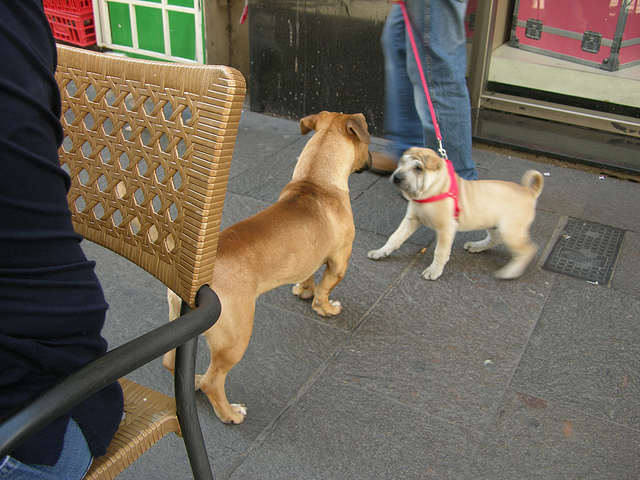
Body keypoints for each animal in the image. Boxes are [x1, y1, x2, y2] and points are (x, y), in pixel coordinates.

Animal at [161, 109, 370, 424]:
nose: (371, 162)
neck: (316, 180)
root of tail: (193, 282)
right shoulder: (339, 261)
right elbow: (324, 289)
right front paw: (325, 307)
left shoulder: (309, 256)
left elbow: (309, 277)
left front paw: (303, 291)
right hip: (235, 340)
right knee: (214, 381)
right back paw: (230, 413)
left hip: (182, 326)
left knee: (170, 361)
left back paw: (193, 381)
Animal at [368, 148, 544, 280]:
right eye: (402, 162)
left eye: (418, 168)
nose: (397, 177)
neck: (431, 191)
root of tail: (529, 191)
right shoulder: (411, 220)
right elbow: (395, 237)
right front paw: (381, 252)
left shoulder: (446, 229)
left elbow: (440, 251)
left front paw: (434, 271)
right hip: (493, 224)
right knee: (495, 239)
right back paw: (476, 246)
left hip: (511, 230)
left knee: (529, 249)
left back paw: (511, 271)